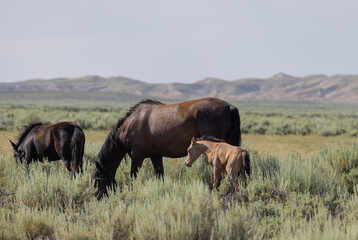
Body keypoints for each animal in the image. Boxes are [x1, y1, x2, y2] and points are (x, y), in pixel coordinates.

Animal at [91, 97, 242, 199]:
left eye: (98, 180)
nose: (97, 198)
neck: (131, 125)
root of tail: (228, 106)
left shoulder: (137, 157)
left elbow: (133, 177)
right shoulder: (156, 156)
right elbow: (160, 176)